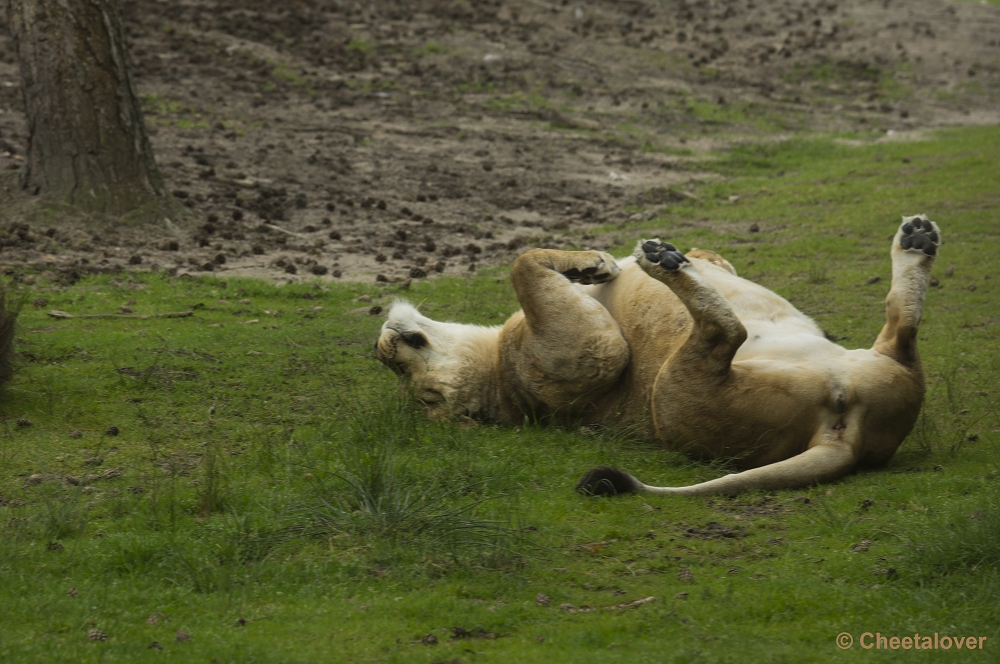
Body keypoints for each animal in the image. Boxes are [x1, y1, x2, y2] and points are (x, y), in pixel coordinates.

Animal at [376, 215, 944, 496]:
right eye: (428, 397)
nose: (383, 352)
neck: (496, 366)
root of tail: (842, 437)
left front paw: (591, 267)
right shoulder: (593, 354)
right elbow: (521, 262)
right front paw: (596, 262)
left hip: (887, 362)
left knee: (902, 324)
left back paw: (916, 240)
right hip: (672, 389)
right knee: (724, 332)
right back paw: (661, 261)